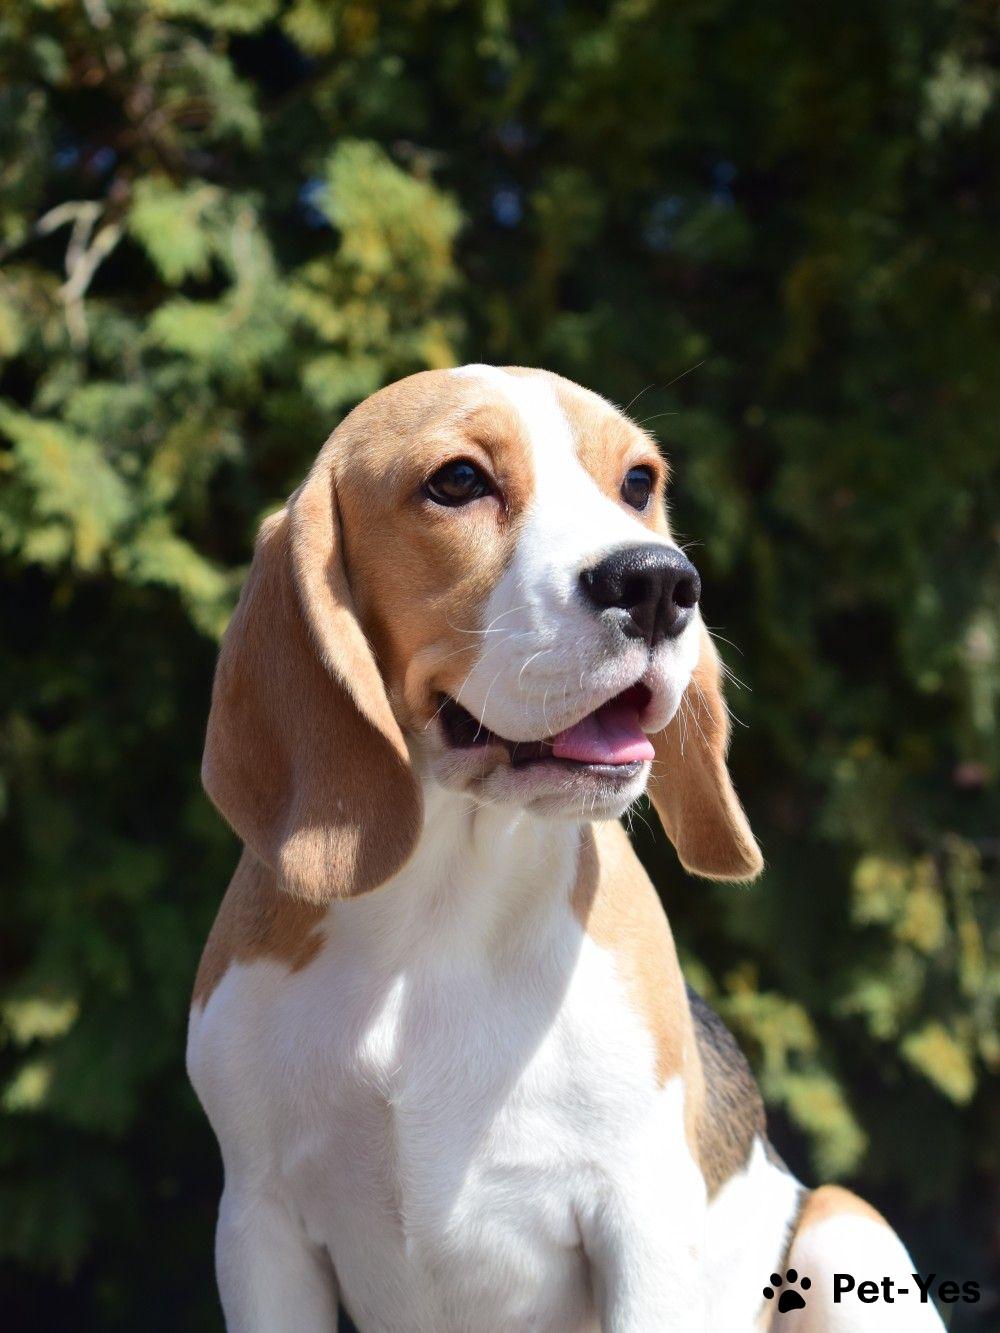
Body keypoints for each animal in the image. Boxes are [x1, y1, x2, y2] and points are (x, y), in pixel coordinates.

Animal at [187, 366, 944, 1331]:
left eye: (639, 482)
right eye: (458, 481)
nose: (659, 582)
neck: (442, 913)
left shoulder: (642, 1226)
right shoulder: (260, 1224)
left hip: (848, 1226)